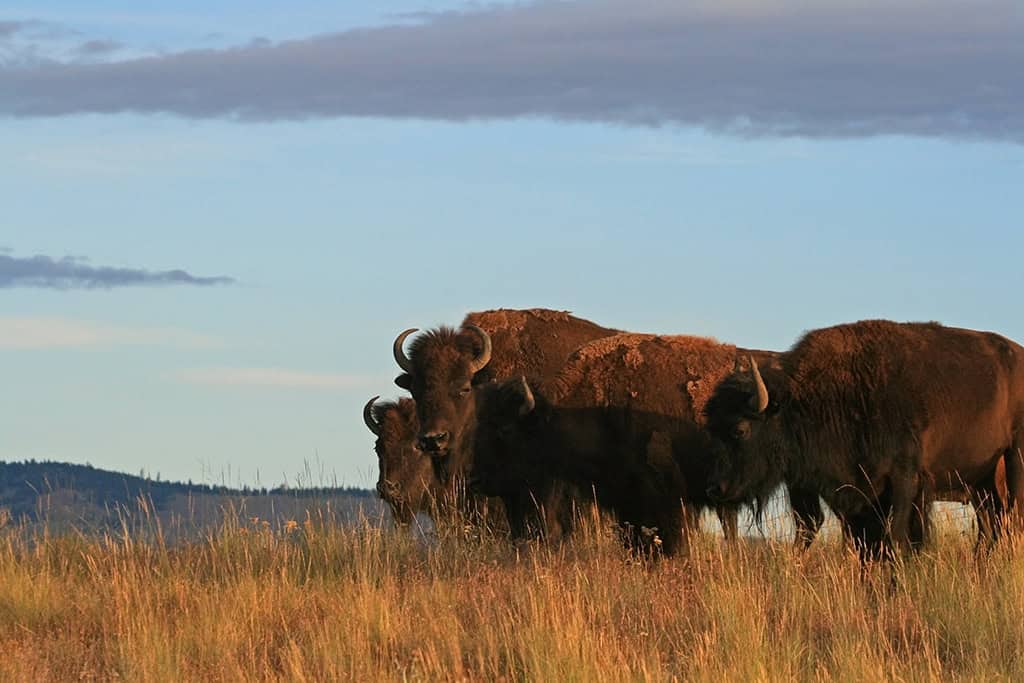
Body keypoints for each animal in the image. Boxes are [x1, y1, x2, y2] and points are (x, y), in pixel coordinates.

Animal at [704, 320, 1024, 559]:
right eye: (712, 427)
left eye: (740, 429)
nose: (717, 488)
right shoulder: (856, 498)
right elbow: (865, 548)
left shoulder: (904, 481)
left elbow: (894, 541)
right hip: (981, 482)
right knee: (990, 528)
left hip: (1013, 460)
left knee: (1012, 520)